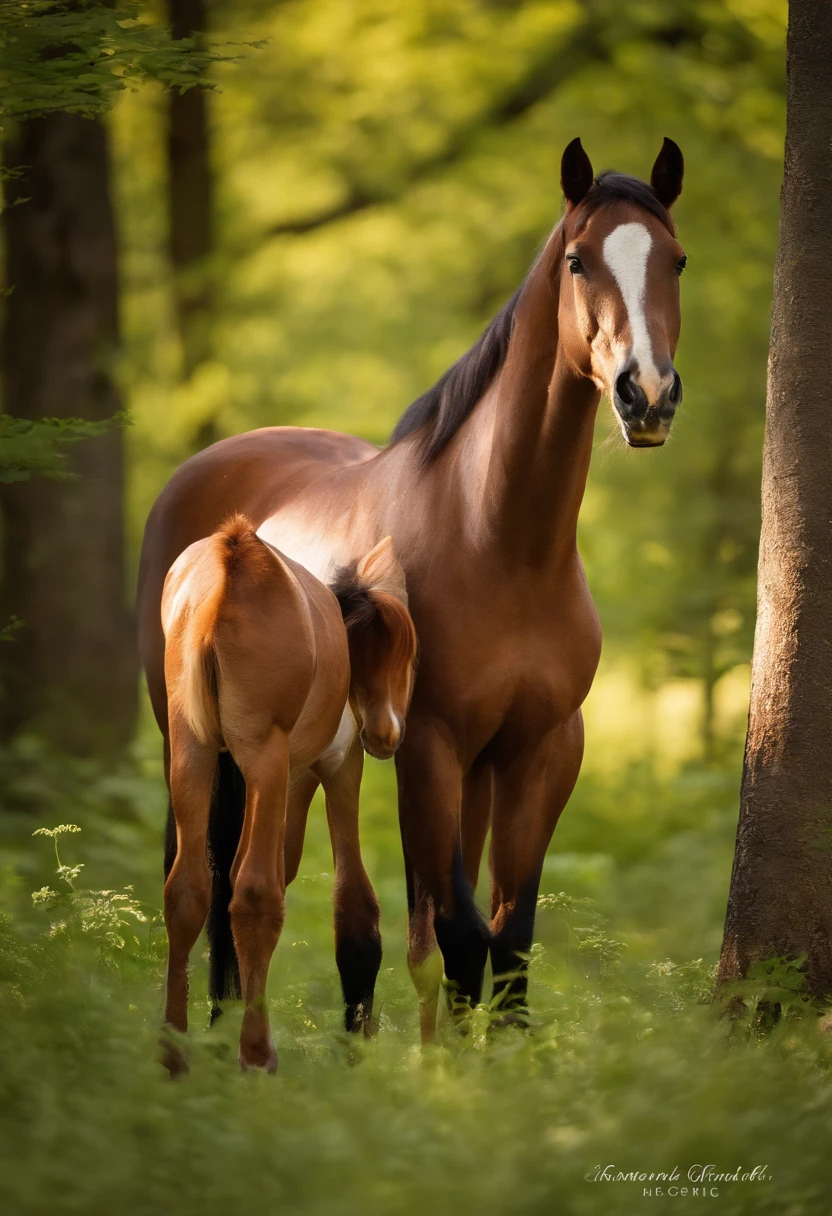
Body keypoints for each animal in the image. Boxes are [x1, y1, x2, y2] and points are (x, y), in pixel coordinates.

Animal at [159, 515, 416, 1074]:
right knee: (256, 894)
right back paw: (257, 1054)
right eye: (410, 654)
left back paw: (175, 1054)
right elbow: (351, 903)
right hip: (268, 761)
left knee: (187, 891)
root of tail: (229, 569)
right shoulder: (330, 770)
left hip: (191, 754)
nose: (385, 734)